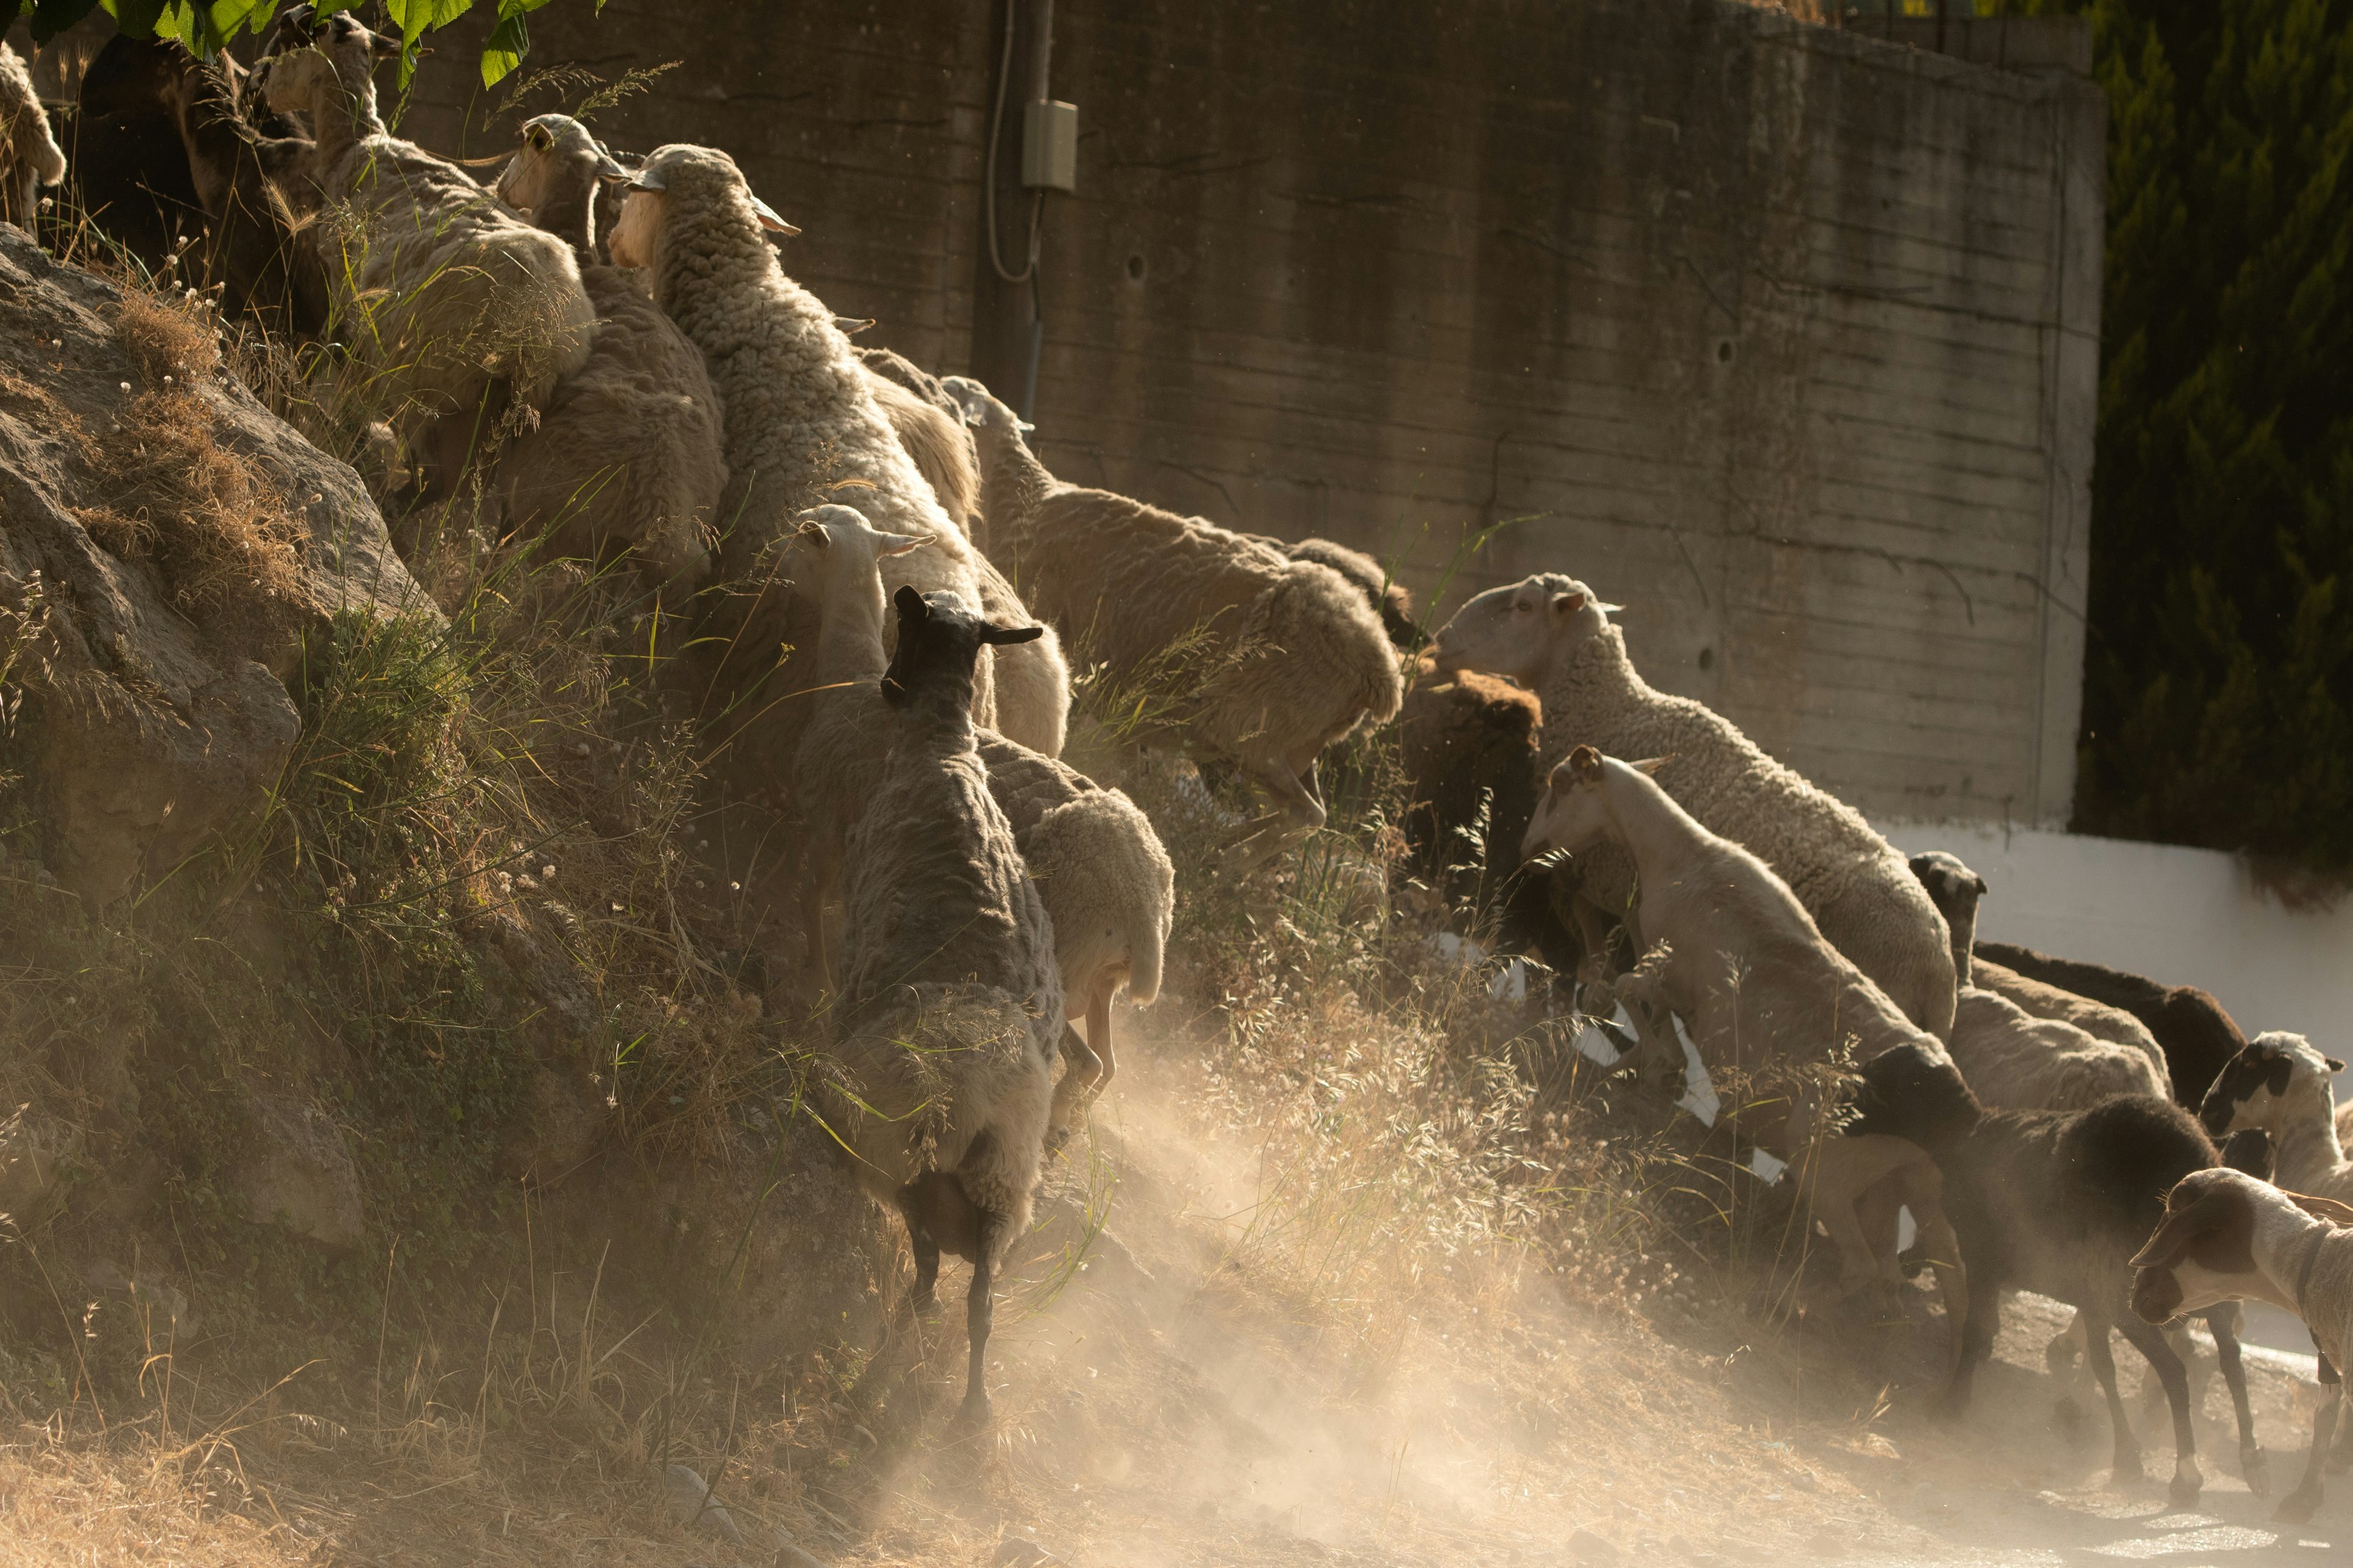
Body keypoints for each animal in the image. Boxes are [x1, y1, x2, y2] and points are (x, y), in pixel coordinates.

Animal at [252, 7, 595, 501]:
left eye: (285, 31)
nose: (255, 94)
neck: (354, 143)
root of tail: (540, 329)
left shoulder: (345, 299)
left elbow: (337, 372)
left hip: (433, 387)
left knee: (435, 480)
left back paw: (386, 496)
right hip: (508, 412)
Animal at [825, 583, 1059, 1430]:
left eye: (906, 625)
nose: (886, 687)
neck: (941, 742)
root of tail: (982, 1100)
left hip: (903, 1151)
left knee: (926, 1263)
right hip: (1001, 1191)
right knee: (980, 1304)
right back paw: (971, 1410)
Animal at [945, 374, 1403, 850]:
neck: (1025, 501)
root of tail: (1381, 673)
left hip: (1248, 730)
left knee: (1304, 814)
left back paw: (1231, 852)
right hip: (1294, 744)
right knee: (1308, 814)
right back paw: (1228, 845)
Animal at [1520, 744, 1976, 1337]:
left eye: (1559, 784)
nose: (1528, 848)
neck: (1683, 853)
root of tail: (1954, 1100)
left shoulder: (1669, 967)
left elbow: (1627, 994)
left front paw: (1655, 1064)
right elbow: (1641, 1011)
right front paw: (1639, 1068)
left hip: (1826, 1164)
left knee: (1863, 1264)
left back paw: (1784, 1302)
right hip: (1911, 1182)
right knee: (1943, 1270)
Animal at [1938, 1096, 2262, 1509]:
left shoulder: (1987, 1263)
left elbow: (1978, 1329)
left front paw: (1953, 1402)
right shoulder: (2093, 1301)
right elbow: (2101, 1364)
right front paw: (2094, 1425)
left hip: (2138, 1303)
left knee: (2176, 1371)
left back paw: (2186, 1478)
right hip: (2210, 1301)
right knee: (2232, 1363)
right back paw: (2252, 1463)